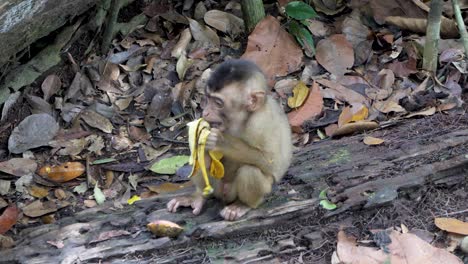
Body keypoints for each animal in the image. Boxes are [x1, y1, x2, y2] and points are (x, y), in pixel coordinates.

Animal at [167, 59, 292, 221]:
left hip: (241, 192)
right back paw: (199, 196)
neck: (242, 118)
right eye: (207, 99)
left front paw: (220, 142)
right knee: (202, 158)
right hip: (215, 187)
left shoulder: (262, 121)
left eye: (218, 103)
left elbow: (272, 161)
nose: (205, 112)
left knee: (249, 171)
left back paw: (242, 205)